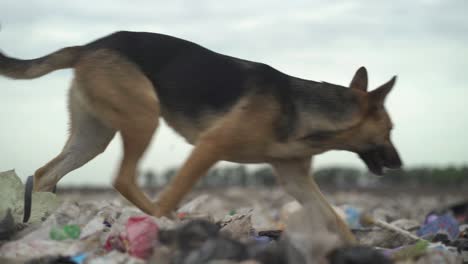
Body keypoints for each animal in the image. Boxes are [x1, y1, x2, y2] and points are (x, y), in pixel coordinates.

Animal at [0, 31, 402, 243]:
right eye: (390, 130)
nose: (399, 164)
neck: (306, 110)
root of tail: (90, 46)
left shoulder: (295, 178)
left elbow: (334, 218)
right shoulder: (209, 148)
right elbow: (174, 192)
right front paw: (163, 225)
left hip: (93, 136)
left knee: (48, 174)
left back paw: (37, 226)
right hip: (143, 117)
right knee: (124, 178)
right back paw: (161, 220)